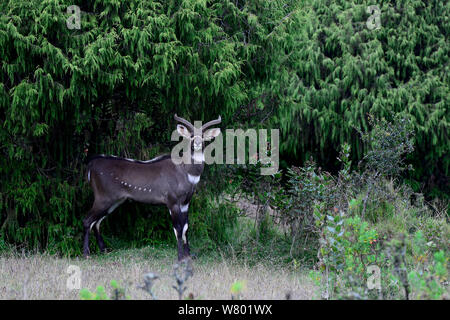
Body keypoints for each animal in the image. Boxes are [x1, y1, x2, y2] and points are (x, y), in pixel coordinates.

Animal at [83, 115, 221, 260]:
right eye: (191, 136)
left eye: (203, 136)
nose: (198, 143)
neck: (187, 172)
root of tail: (90, 166)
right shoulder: (172, 200)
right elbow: (177, 228)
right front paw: (180, 258)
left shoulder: (186, 202)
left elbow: (186, 228)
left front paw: (188, 256)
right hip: (103, 197)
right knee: (87, 220)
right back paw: (86, 254)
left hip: (115, 200)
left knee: (97, 222)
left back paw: (104, 250)